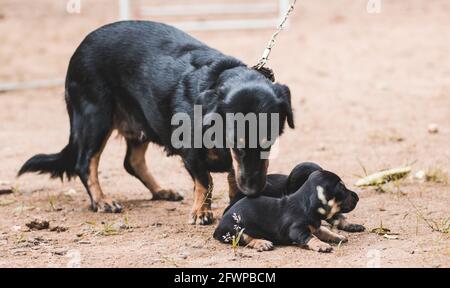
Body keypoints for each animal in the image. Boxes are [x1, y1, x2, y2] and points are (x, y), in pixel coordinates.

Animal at [17, 20, 294, 225]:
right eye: (236, 142)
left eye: (269, 141)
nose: (253, 192)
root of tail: (81, 45)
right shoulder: (192, 154)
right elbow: (206, 180)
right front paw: (202, 212)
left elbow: (230, 177)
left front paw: (235, 201)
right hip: (95, 118)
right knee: (85, 163)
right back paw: (102, 201)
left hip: (141, 120)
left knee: (132, 162)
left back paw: (160, 191)